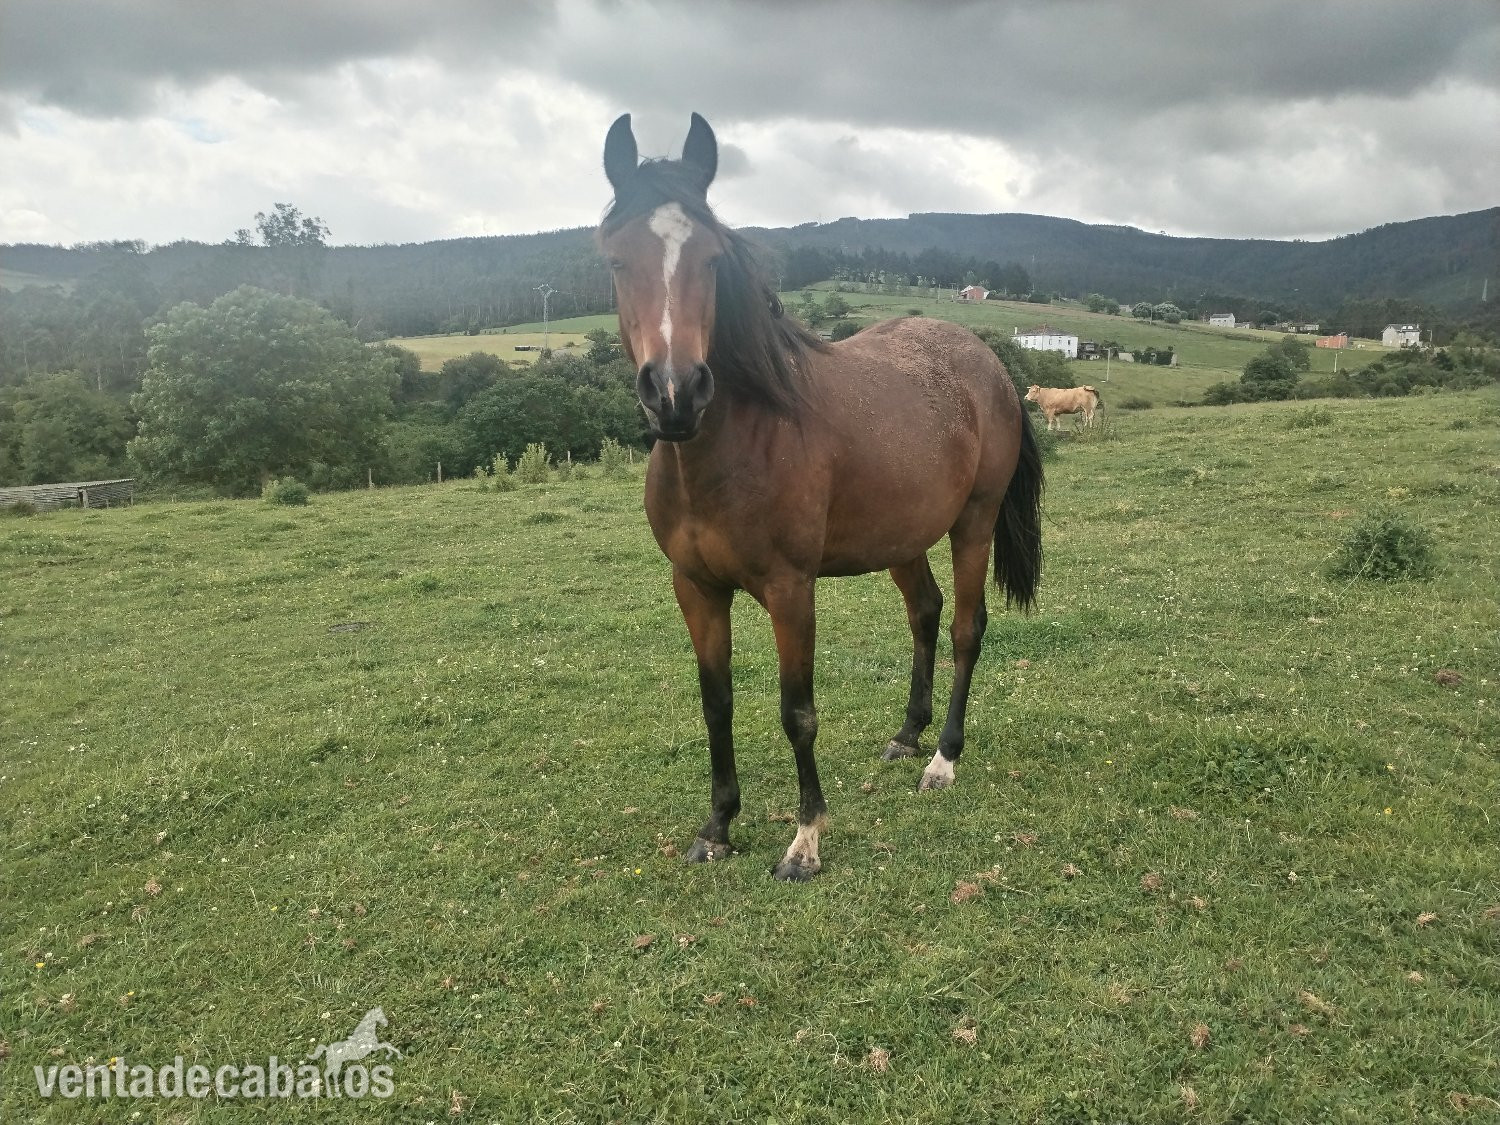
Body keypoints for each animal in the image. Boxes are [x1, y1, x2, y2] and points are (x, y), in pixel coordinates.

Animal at [598, 113, 1043, 881]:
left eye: (712, 260)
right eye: (618, 259)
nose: (676, 394)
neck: (736, 444)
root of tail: (988, 360)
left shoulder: (790, 588)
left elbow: (796, 711)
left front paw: (805, 839)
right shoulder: (695, 587)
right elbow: (716, 702)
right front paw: (718, 825)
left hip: (974, 523)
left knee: (964, 628)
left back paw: (942, 758)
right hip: (902, 537)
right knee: (924, 613)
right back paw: (907, 732)